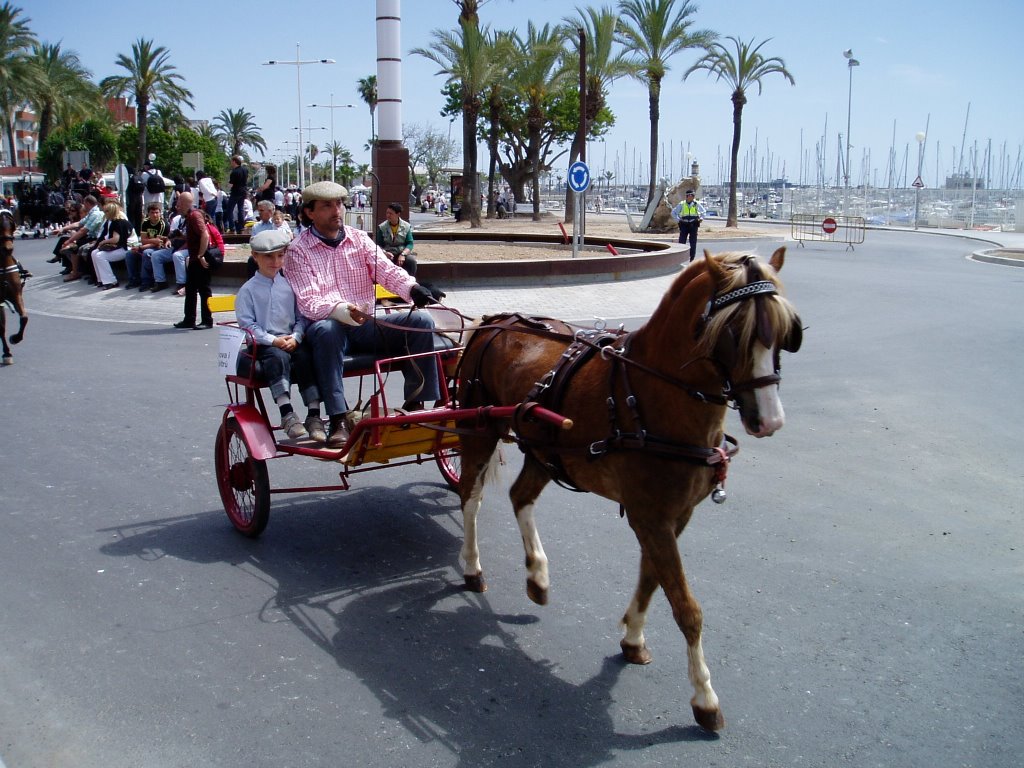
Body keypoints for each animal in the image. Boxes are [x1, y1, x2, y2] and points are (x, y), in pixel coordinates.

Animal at [456, 250, 798, 733]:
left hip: (545, 449)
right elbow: (686, 606)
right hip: (479, 427)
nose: (769, 420)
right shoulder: (651, 517)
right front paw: (704, 696)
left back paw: (537, 574)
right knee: (471, 497)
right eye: (734, 331)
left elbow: (653, 579)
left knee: (520, 496)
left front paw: (633, 637)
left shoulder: (671, 516)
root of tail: (496, 320)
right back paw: (471, 566)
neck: (654, 394)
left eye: (786, 334)